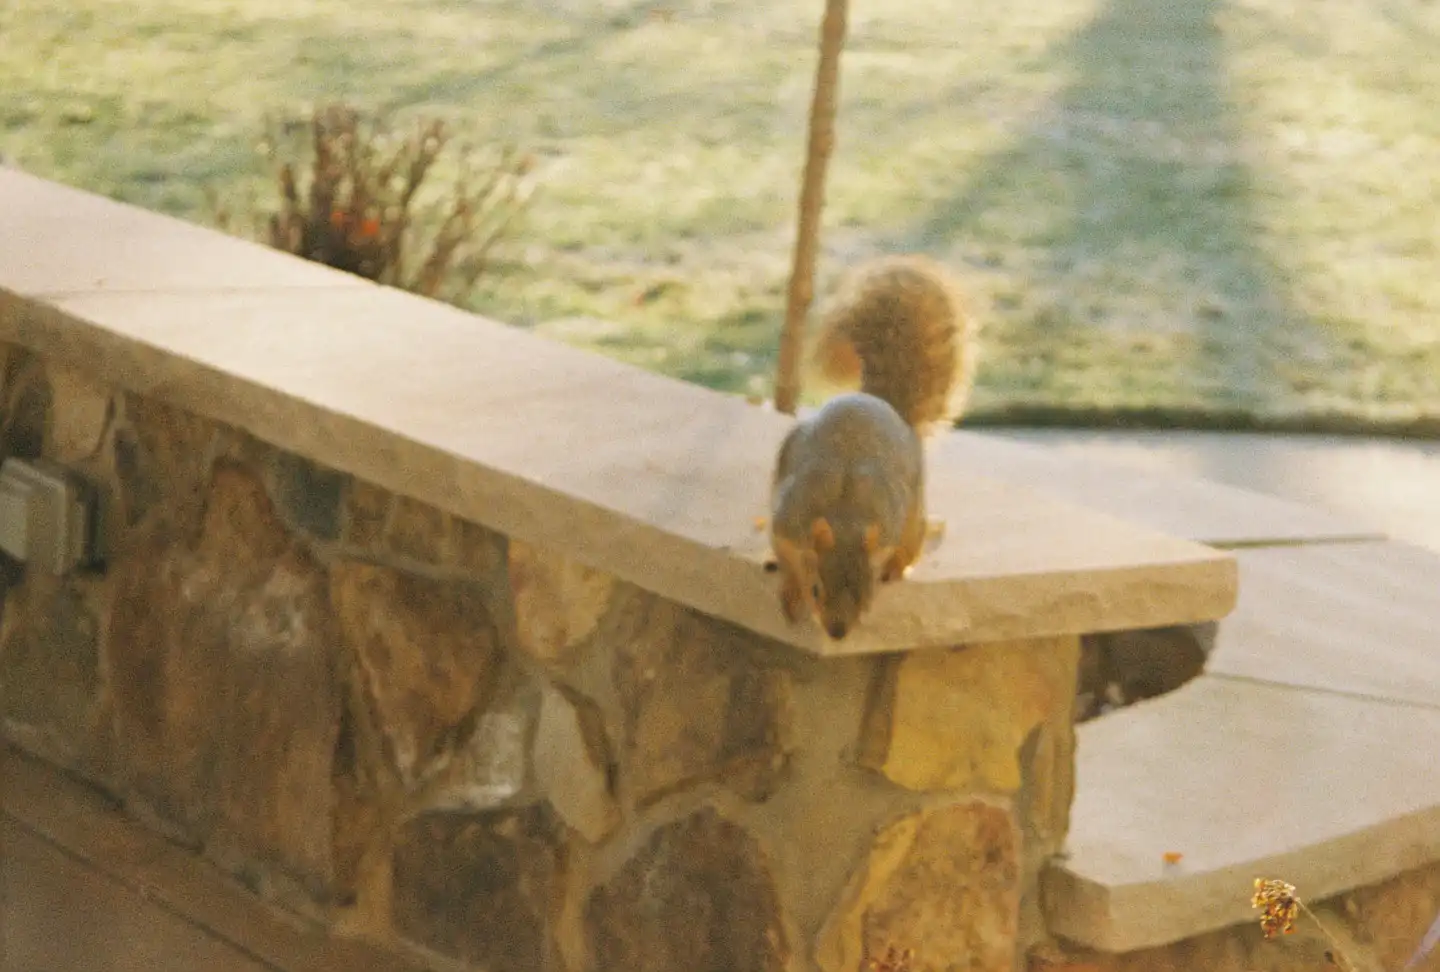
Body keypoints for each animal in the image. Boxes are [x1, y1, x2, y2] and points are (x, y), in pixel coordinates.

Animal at [767, 254, 977, 641]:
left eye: (868, 591)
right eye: (816, 589)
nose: (837, 633)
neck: (845, 512)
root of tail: (884, 404)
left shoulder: (889, 525)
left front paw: (889, 570)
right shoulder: (787, 522)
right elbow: (788, 559)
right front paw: (790, 591)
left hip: (913, 511)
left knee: (915, 539)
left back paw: (899, 567)